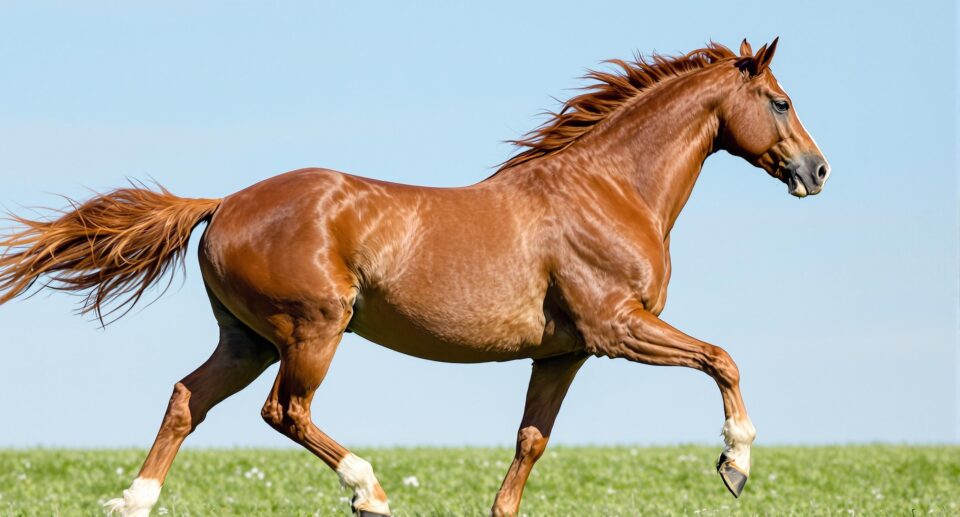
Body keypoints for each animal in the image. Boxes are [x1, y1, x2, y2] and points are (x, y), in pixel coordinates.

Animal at [0, 38, 828, 516]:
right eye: (781, 100)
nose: (817, 171)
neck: (610, 190)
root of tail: (223, 204)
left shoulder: (562, 351)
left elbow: (530, 442)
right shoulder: (616, 326)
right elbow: (722, 357)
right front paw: (735, 463)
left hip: (247, 340)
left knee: (186, 399)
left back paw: (132, 500)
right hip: (313, 330)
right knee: (283, 411)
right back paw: (368, 490)